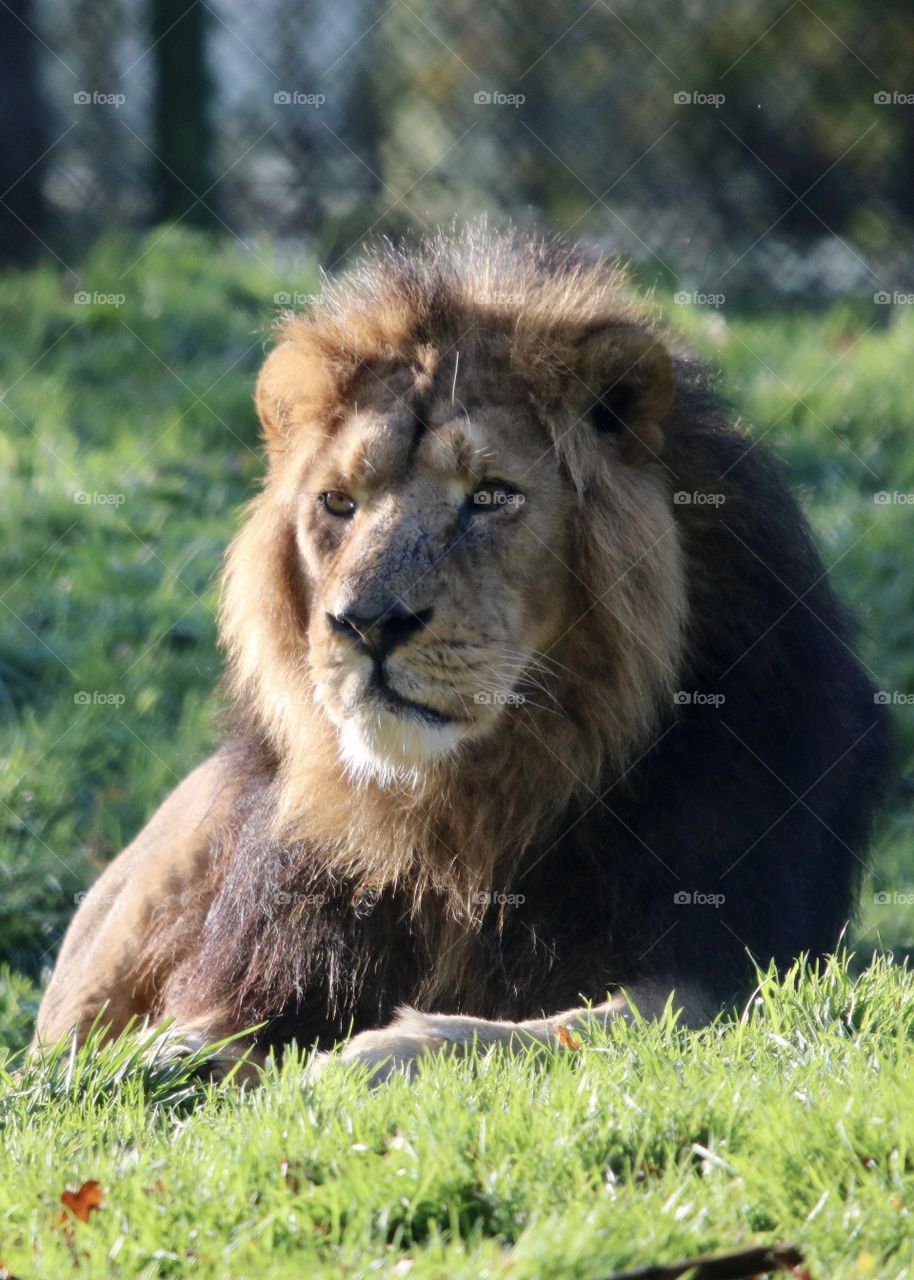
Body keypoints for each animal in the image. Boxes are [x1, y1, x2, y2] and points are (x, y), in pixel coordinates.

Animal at [35, 227, 891, 1080]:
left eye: (490, 496)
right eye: (337, 503)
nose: (367, 624)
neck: (458, 819)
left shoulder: (734, 973)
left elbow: (570, 1027)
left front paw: (371, 1055)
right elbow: (216, 1030)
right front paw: (164, 1060)